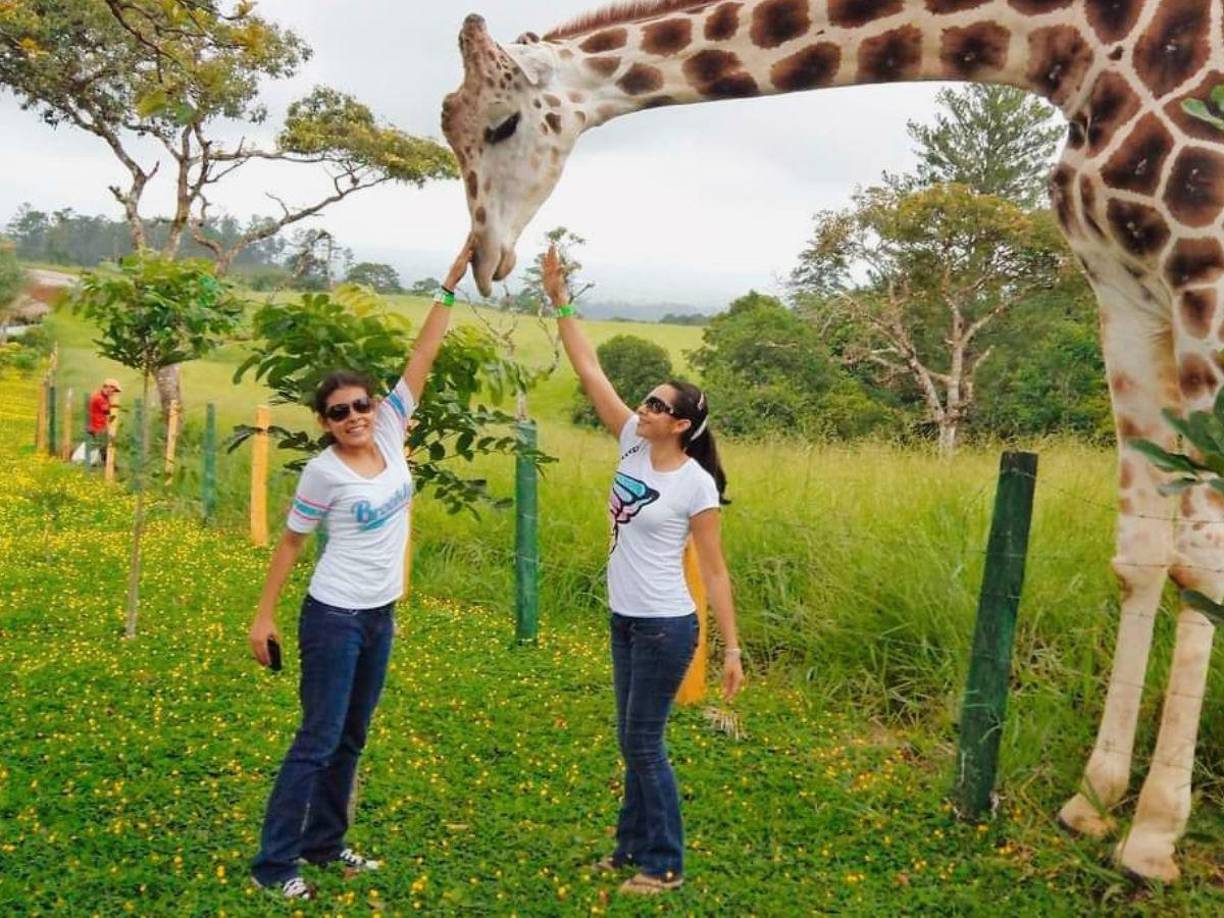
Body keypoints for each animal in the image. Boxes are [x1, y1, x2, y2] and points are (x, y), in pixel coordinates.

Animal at [441, 0, 1224, 882]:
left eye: (502, 124)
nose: (486, 258)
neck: (1080, 47)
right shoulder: (1124, 288)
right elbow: (1142, 551)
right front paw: (1093, 803)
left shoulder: (1204, 268)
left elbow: (1203, 561)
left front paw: (1153, 837)